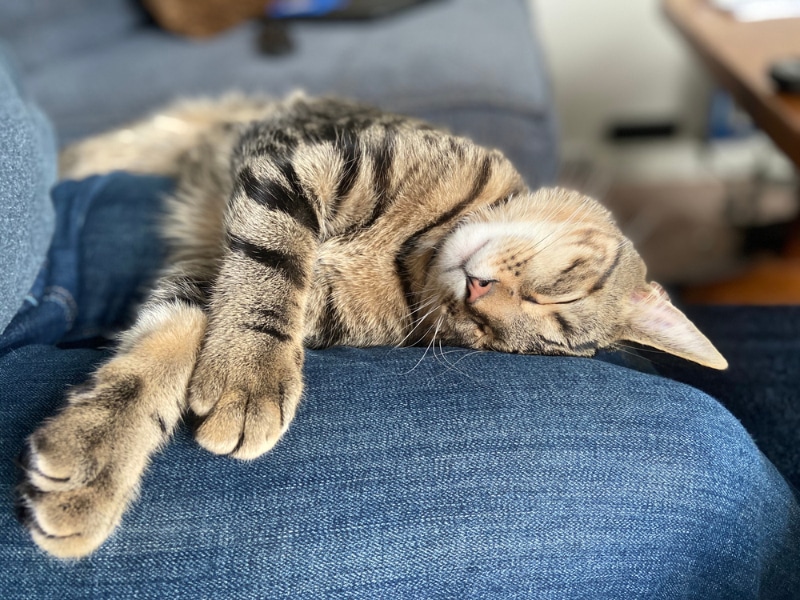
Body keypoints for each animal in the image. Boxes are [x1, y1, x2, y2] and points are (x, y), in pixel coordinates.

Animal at [15, 94, 728, 556]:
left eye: (487, 337)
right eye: (562, 295)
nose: (478, 294)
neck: (414, 253)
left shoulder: (218, 274)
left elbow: (169, 341)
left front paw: (93, 462)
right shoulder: (295, 162)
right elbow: (269, 267)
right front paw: (250, 374)